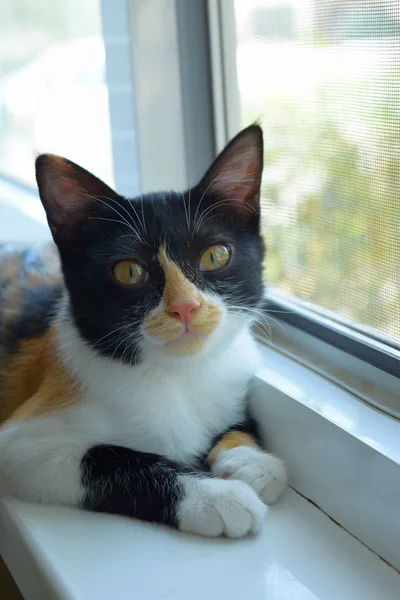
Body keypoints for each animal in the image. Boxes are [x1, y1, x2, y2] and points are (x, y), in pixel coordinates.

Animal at [0, 124, 288, 536]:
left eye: (216, 255)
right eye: (129, 271)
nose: (185, 307)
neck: (178, 375)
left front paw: (251, 459)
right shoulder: (20, 445)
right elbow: (104, 458)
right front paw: (216, 497)